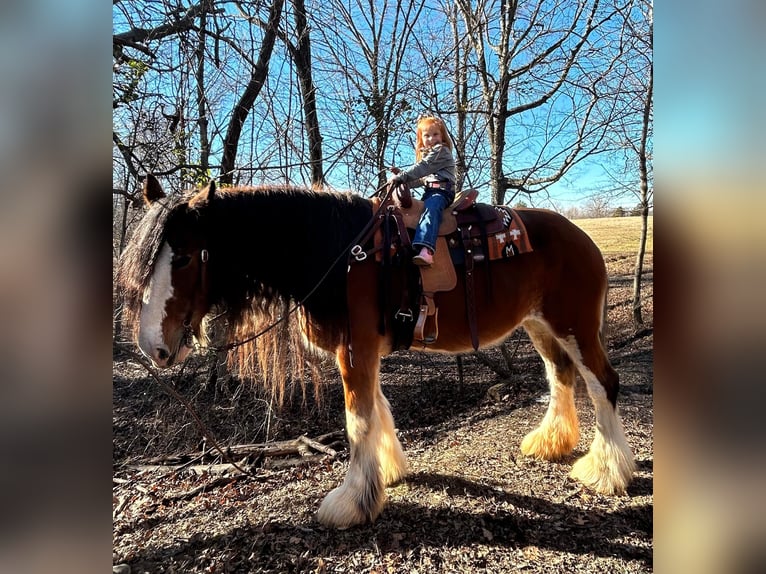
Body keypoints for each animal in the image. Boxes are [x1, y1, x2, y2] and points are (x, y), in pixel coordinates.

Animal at [118, 177, 636, 532]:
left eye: (185, 256)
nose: (150, 344)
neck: (340, 254)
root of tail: (582, 238)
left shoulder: (355, 350)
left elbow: (357, 419)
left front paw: (351, 501)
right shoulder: (364, 351)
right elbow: (378, 409)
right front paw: (385, 472)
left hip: (574, 327)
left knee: (602, 384)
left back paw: (606, 471)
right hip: (540, 326)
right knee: (560, 375)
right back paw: (552, 442)